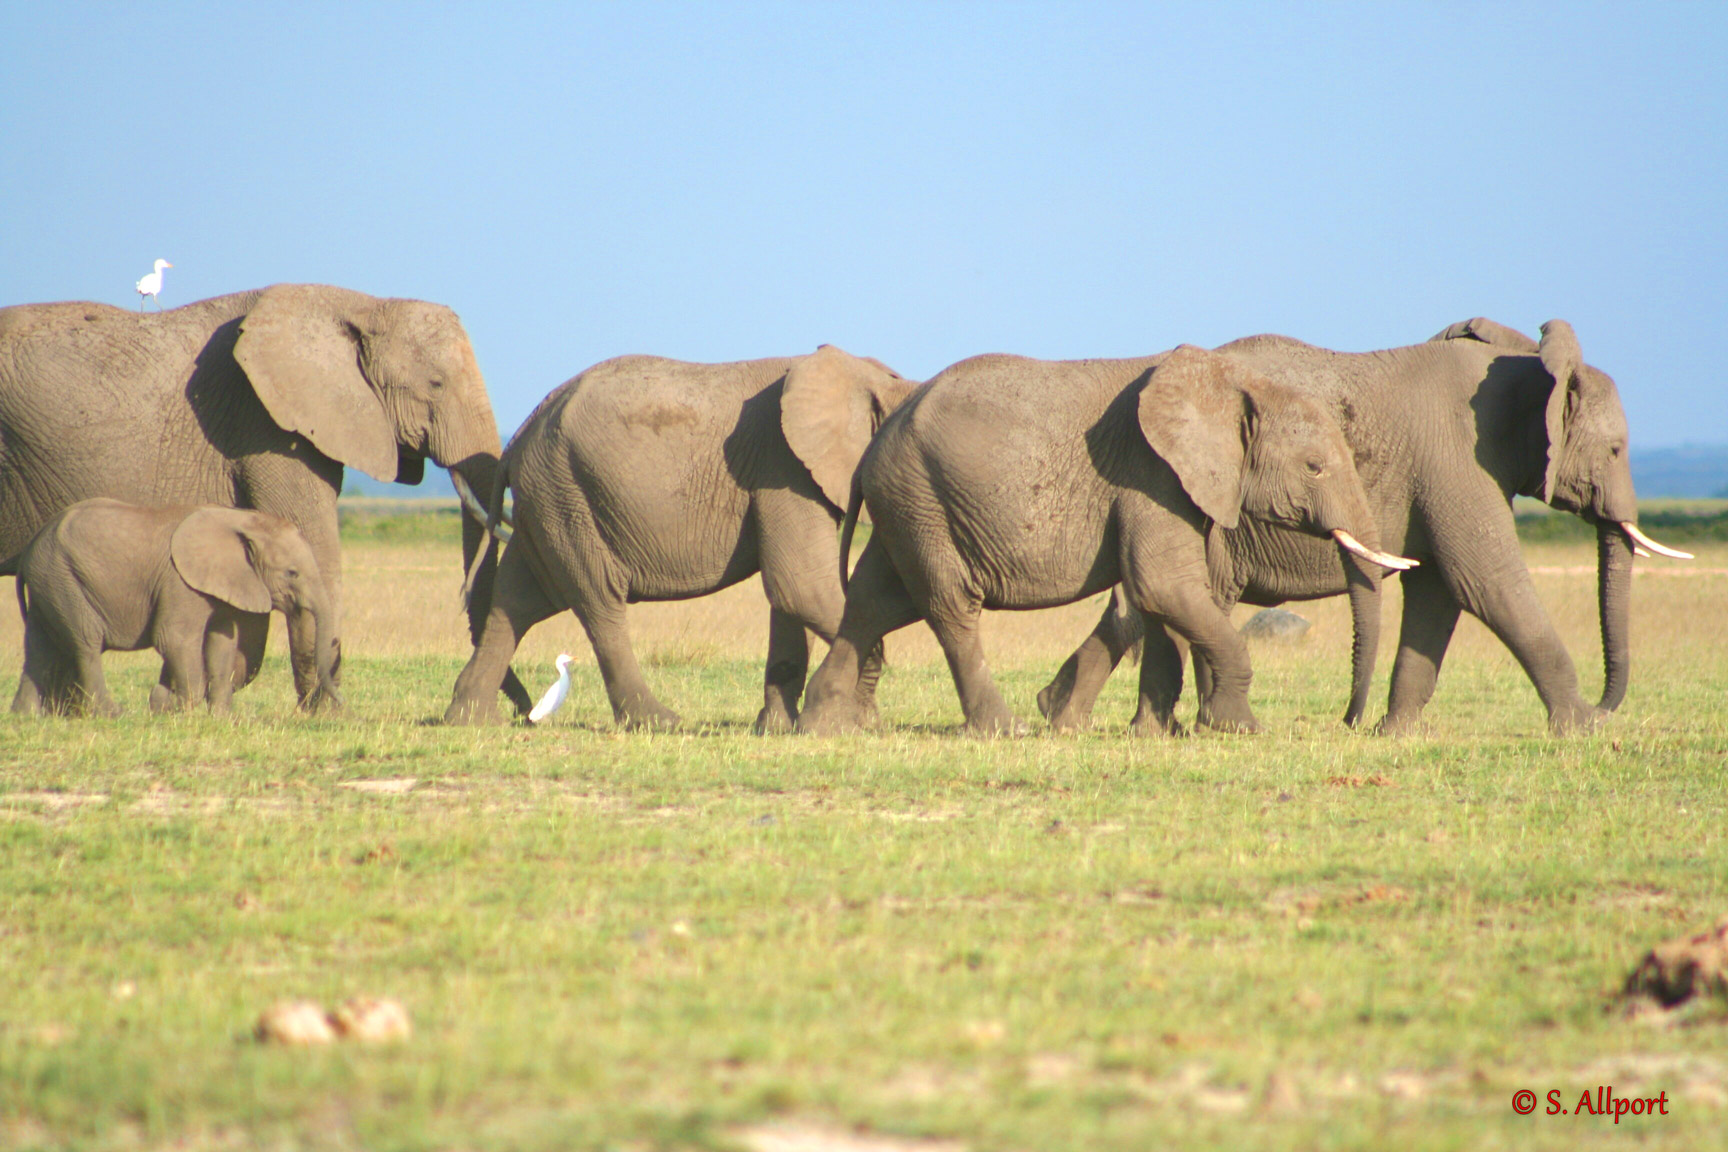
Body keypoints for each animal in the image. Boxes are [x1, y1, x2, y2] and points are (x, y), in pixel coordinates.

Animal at [12, 499, 340, 716]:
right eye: (292, 573)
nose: (339, 700)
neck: (242, 521)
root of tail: (30, 547)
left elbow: (222, 642)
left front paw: (221, 719)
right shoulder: (179, 582)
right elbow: (173, 638)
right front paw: (182, 712)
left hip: (49, 583)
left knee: (39, 648)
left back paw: (25, 718)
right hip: (63, 579)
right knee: (86, 643)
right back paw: (112, 713)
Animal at [444, 344, 916, 730]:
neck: (864, 375)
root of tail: (518, 436)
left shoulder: (786, 476)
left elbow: (787, 597)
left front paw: (777, 728)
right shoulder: (783, 466)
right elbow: (800, 585)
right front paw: (862, 722)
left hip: (548, 498)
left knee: (515, 600)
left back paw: (472, 720)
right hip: (566, 495)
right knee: (599, 600)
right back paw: (658, 722)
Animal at [794, 345, 1416, 737]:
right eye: (1314, 467)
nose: (1348, 723)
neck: (1234, 384)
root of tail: (873, 450)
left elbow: (1165, 598)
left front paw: (1183, 730)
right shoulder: (1152, 476)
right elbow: (1164, 587)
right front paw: (1239, 727)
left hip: (908, 505)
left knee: (875, 602)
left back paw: (823, 727)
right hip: (922, 500)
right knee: (948, 606)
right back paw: (1005, 730)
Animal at [1036, 318, 1693, 736]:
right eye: (1615, 450)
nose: (1606, 707)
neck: (1528, 367)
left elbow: (1437, 592)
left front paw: (1395, 734)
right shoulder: (1458, 460)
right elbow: (1487, 582)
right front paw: (1580, 730)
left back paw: (1070, 716)